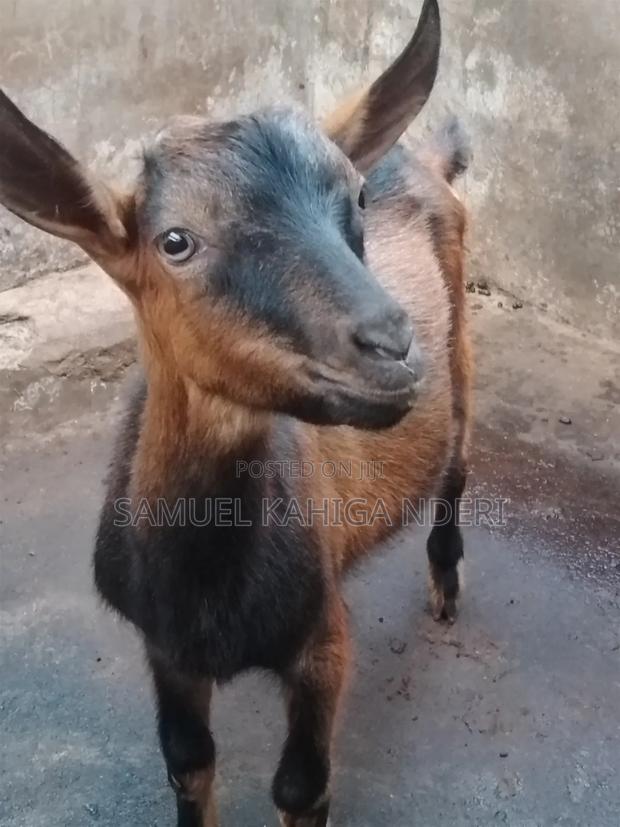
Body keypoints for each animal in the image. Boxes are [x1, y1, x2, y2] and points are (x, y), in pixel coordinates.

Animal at [0, 0, 472, 823]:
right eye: (175, 241)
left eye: (353, 199)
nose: (391, 344)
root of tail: (426, 158)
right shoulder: (165, 650)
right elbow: (187, 762)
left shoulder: (321, 644)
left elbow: (301, 786)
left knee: (458, 464)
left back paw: (446, 585)